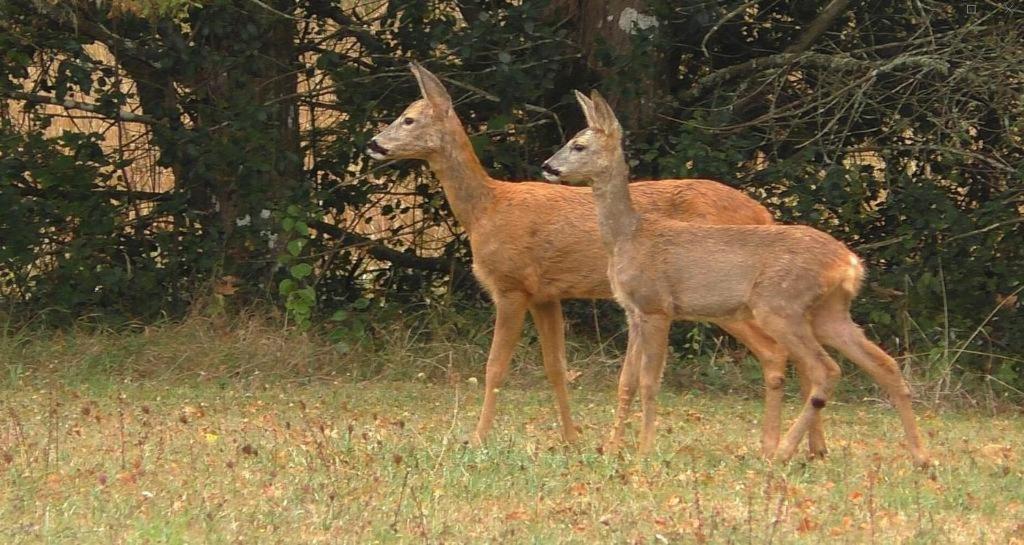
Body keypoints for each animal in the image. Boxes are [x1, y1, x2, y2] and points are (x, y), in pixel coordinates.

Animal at [368, 61, 831, 456]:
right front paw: (572, 438)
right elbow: (556, 366)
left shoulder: (511, 285)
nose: (373, 143)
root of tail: (763, 213)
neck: (488, 209)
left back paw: (785, 447)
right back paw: (813, 449)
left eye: (408, 119)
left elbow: (494, 367)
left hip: (721, 299)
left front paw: (478, 438)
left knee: (780, 353)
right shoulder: (546, 293)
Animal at [540, 87, 933, 467]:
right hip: (829, 312)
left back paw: (783, 452)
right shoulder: (633, 312)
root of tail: (850, 263)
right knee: (884, 364)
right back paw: (920, 458)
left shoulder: (657, 306)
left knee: (825, 369)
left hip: (780, 305)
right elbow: (626, 382)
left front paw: (643, 451)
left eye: (579, 145)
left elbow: (650, 382)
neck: (628, 236)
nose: (547, 166)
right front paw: (611, 447)